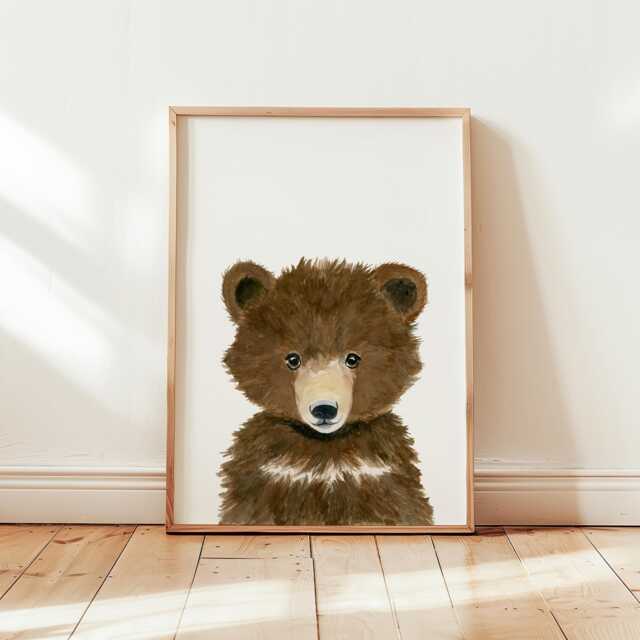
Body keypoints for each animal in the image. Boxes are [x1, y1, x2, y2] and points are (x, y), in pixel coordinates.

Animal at [218, 258, 434, 526]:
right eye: (293, 359)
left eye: (353, 358)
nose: (324, 409)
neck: (325, 450)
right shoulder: (265, 478)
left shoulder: (381, 478)